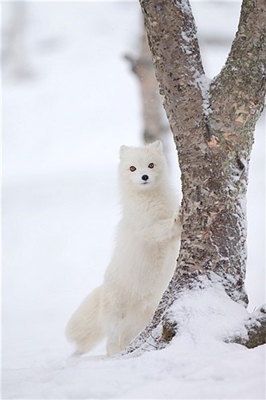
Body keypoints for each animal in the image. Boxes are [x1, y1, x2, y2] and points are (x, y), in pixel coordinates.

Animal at [65, 141, 182, 356]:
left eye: (151, 165)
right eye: (132, 168)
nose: (144, 177)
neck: (152, 202)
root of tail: (102, 289)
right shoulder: (145, 230)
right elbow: (161, 228)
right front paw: (177, 218)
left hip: (139, 321)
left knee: (123, 341)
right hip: (116, 315)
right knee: (110, 344)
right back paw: (112, 357)